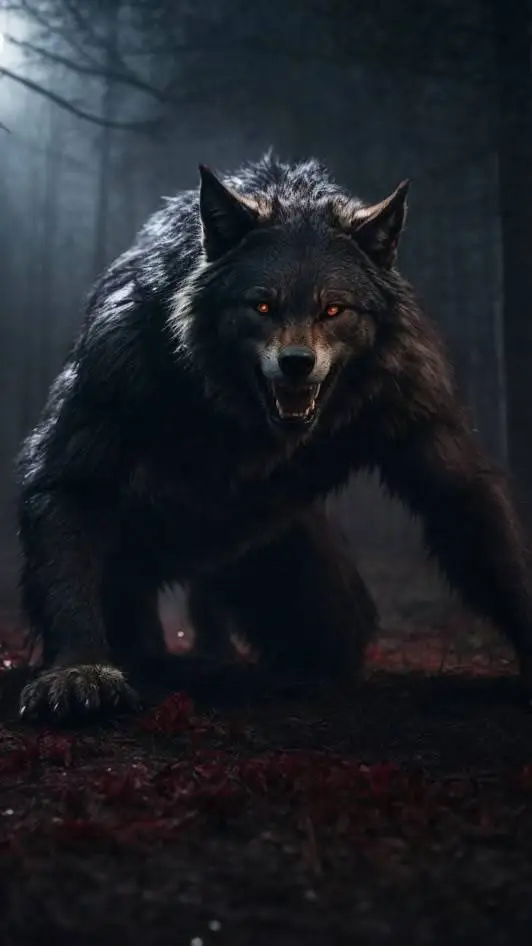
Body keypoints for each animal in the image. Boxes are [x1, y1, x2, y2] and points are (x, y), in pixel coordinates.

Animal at [16, 152, 532, 720]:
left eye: (334, 309)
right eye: (262, 306)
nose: (296, 364)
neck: (239, 412)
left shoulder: (417, 404)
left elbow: (468, 505)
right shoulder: (111, 379)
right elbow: (72, 502)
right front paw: (79, 669)